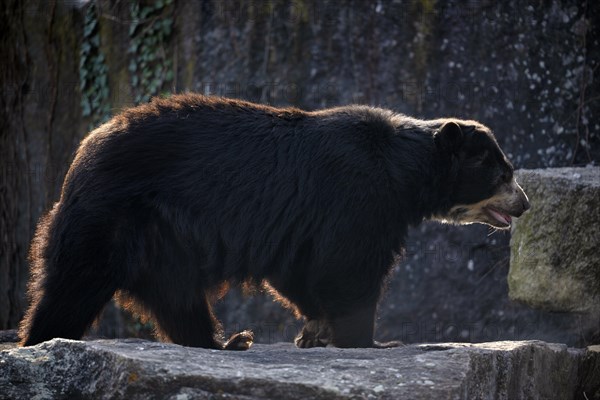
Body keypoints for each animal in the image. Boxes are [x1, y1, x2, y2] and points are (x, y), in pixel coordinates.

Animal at [18, 95, 528, 348]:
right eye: (503, 173)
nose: (524, 205)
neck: (403, 171)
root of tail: (81, 156)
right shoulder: (357, 195)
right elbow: (346, 267)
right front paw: (370, 341)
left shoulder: (305, 223)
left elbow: (300, 269)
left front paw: (316, 330)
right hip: (116, 218)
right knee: (73, 286)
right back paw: (39, 339)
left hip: (161, 239)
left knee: (175, 296)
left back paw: (224, 343)